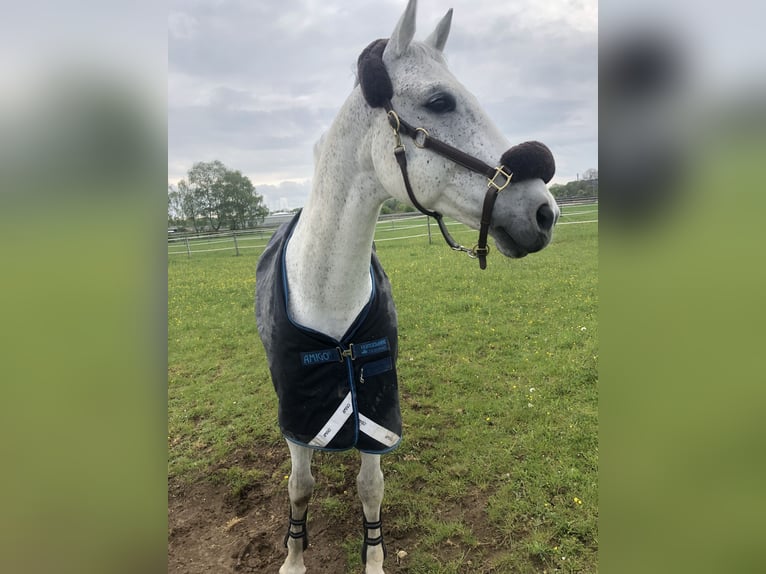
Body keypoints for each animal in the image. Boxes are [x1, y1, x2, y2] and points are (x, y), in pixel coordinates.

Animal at [255, 2, 560, 572]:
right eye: (439, 101)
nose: (544, 212)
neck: (328, 296)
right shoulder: (299, 414)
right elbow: (300, 485)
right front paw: (293, 557)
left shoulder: (378, 405)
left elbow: (371, 487)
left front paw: (373, 558)